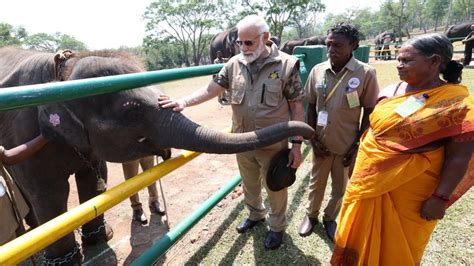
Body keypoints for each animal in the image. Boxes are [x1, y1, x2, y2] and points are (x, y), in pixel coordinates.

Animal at [0, 46, 314, 262]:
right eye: (132, 113)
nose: (309, 132)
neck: (62, 75)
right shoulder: (25, 133)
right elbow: (47, 191)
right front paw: (67, 261)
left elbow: (93, 178)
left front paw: (101, 239)